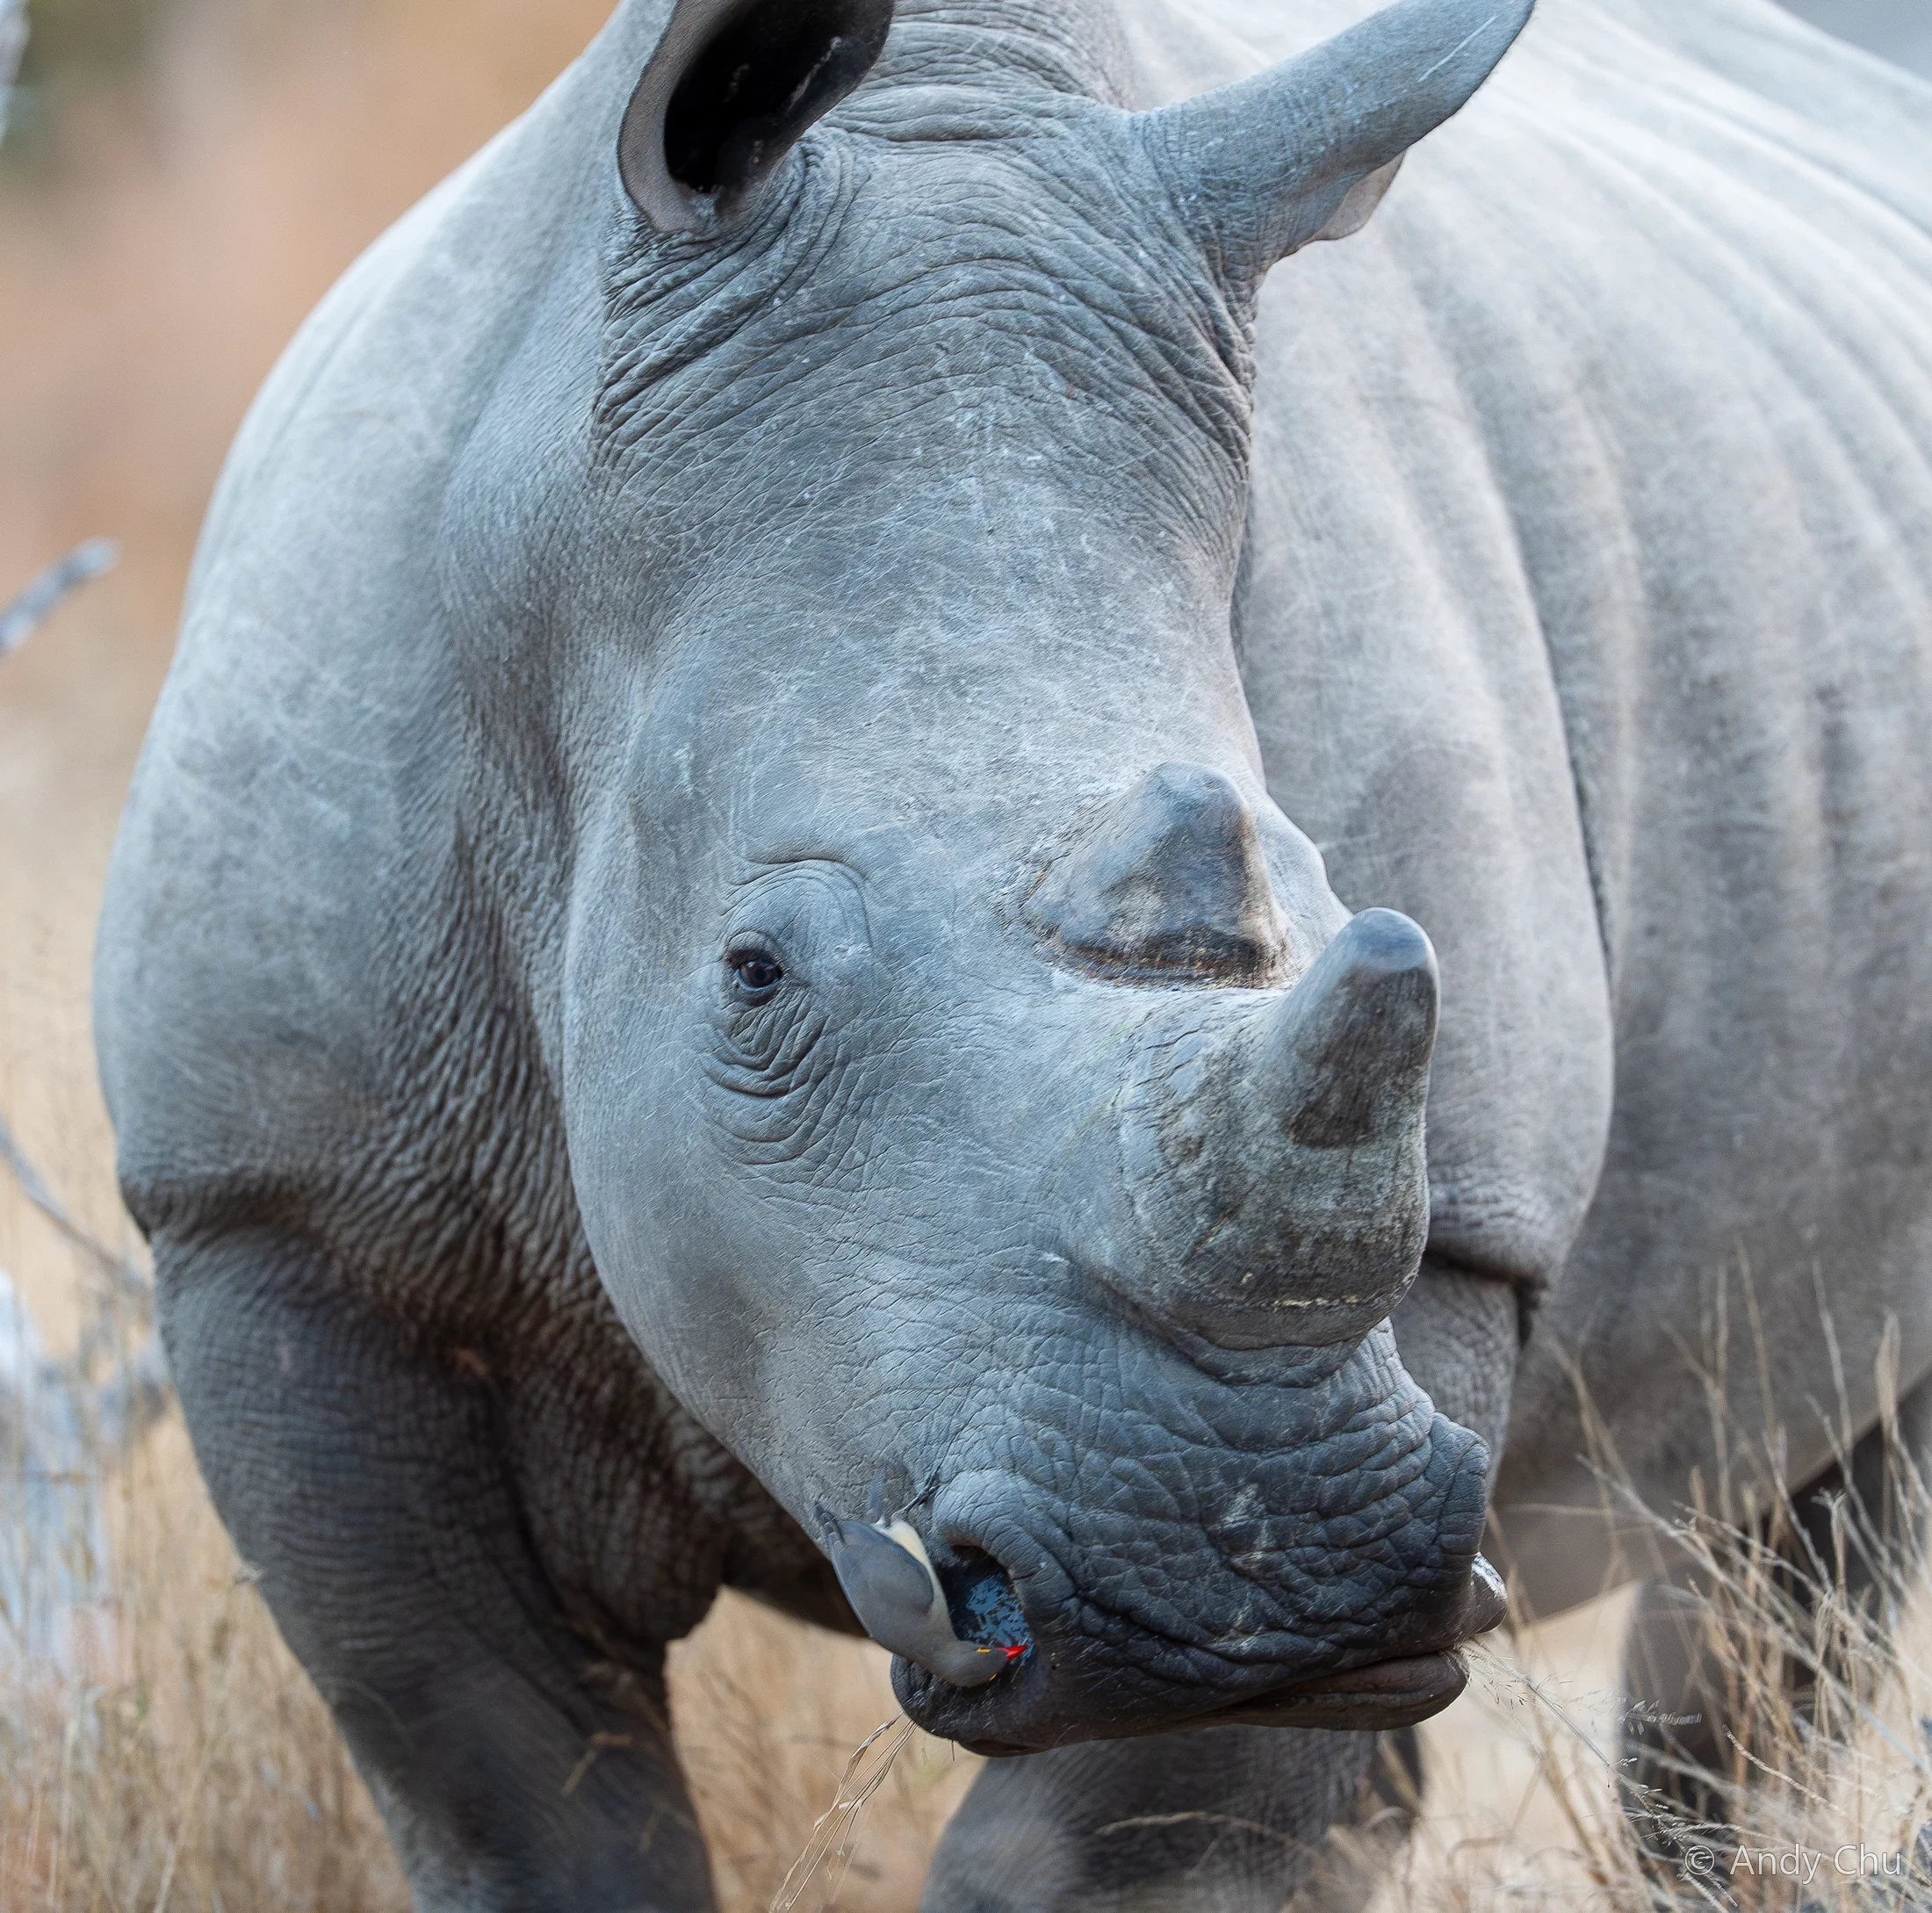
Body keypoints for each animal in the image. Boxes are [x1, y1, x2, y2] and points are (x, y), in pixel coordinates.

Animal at [93, 0, 1932, 1904]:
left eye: (1336, 898)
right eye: (753, 972)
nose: (1272, 1571)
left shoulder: (1458, 1231)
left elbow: (1106, 1847)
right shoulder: (280, 1209)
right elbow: (517, 1796)